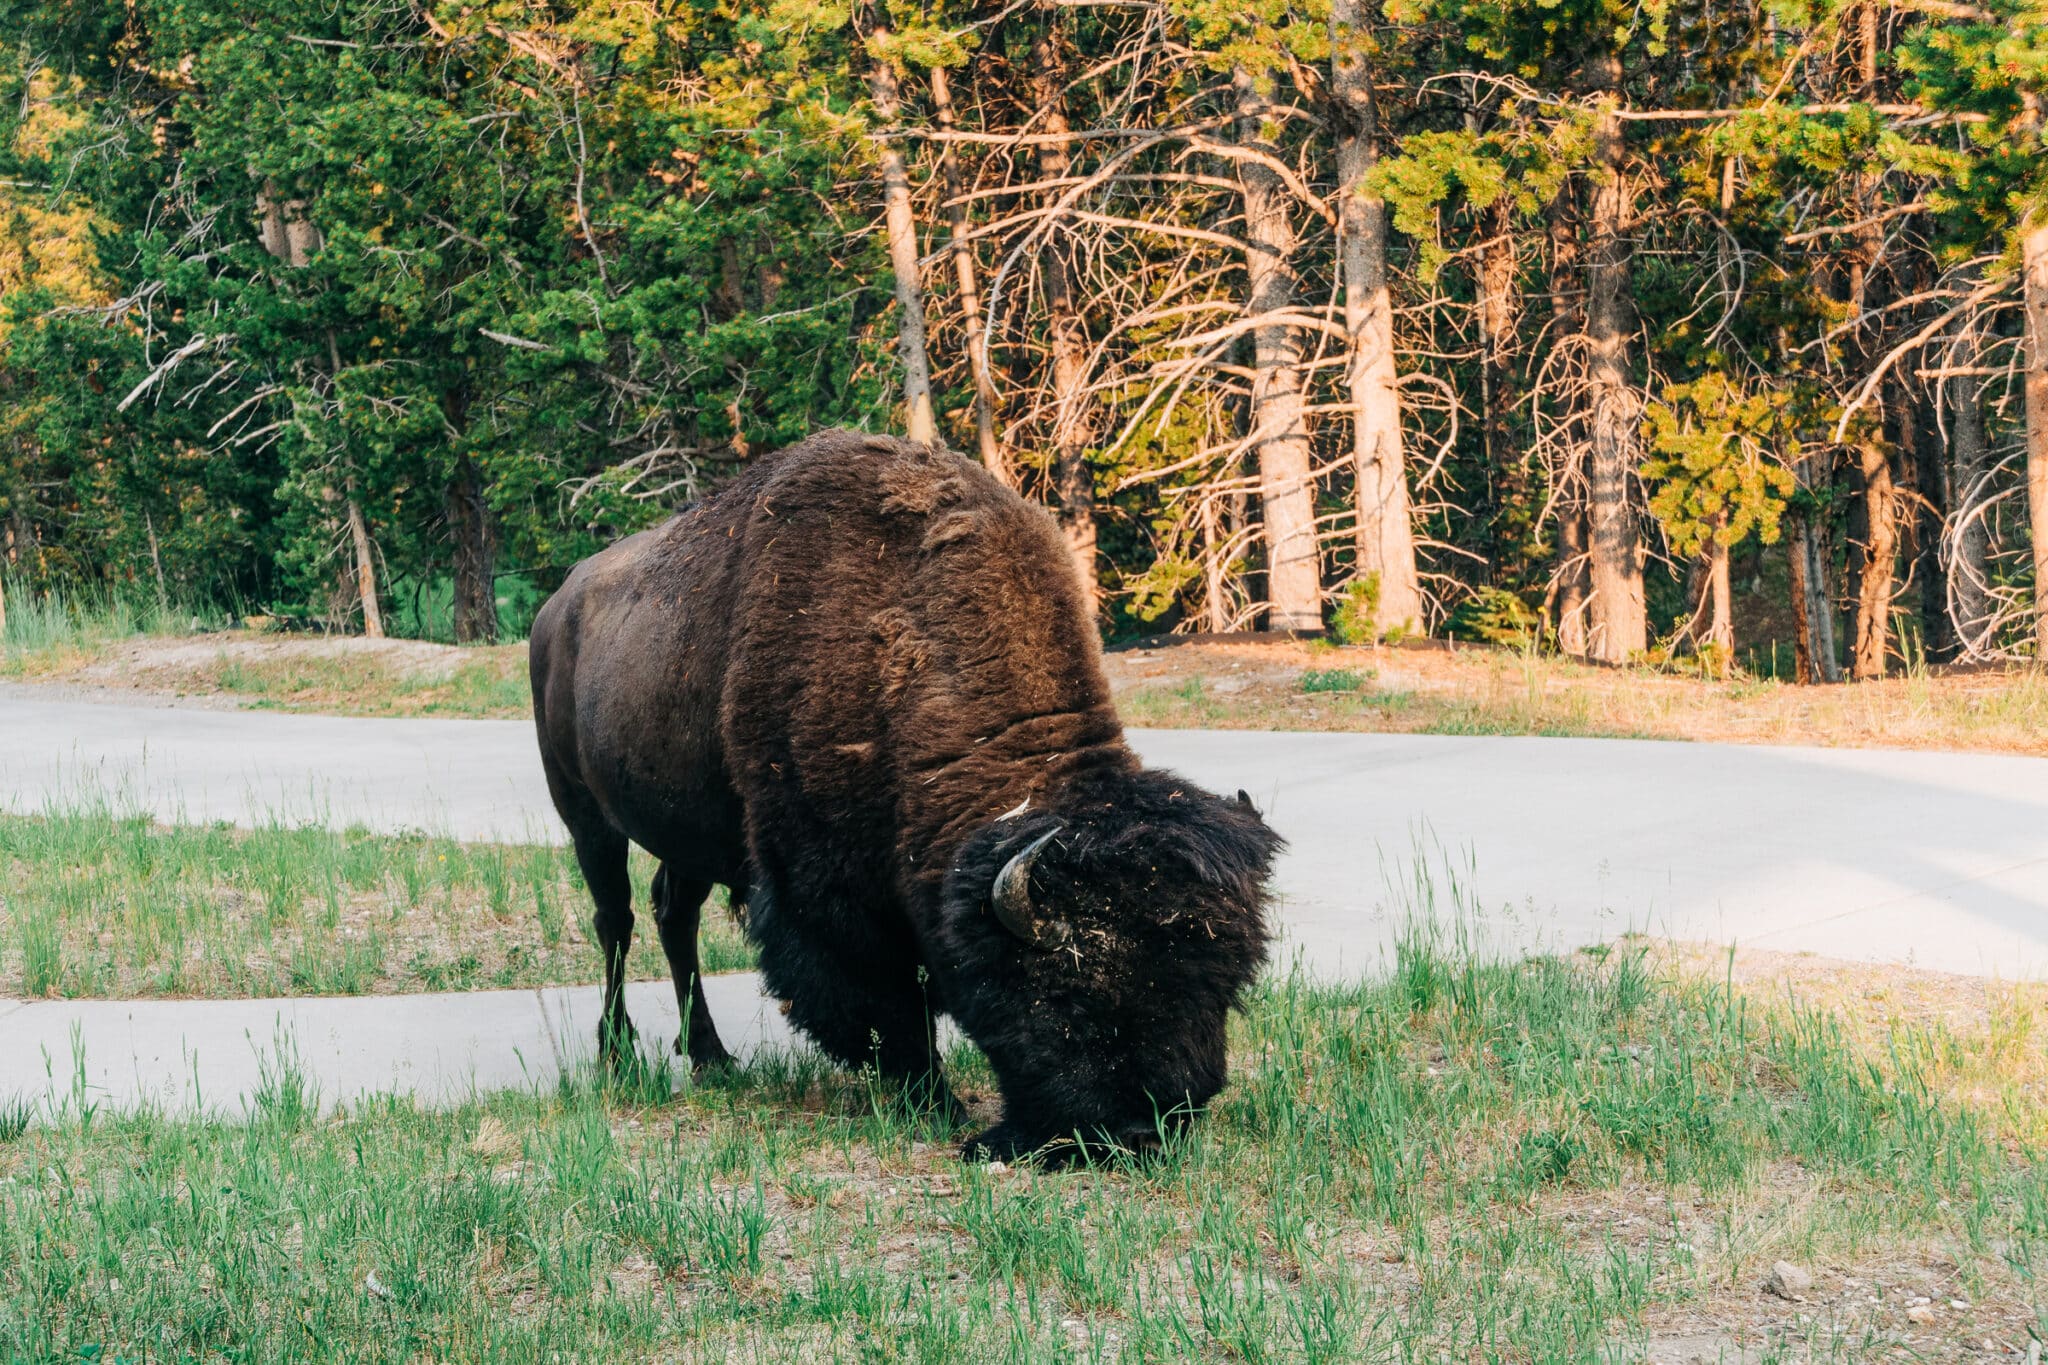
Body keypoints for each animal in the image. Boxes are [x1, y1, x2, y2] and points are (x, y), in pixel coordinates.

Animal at [529, 430, 1281, 1160]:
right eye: (1071, 994)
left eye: (1225, 984)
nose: (1145, 1129)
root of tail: (555, 608)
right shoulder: (826, 897)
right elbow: (888, 1004)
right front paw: (937, 1101)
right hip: (585, 815)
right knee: (617, 920)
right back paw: (620, 1055)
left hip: (689, 837)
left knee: (673, 916)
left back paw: (713, 1057)